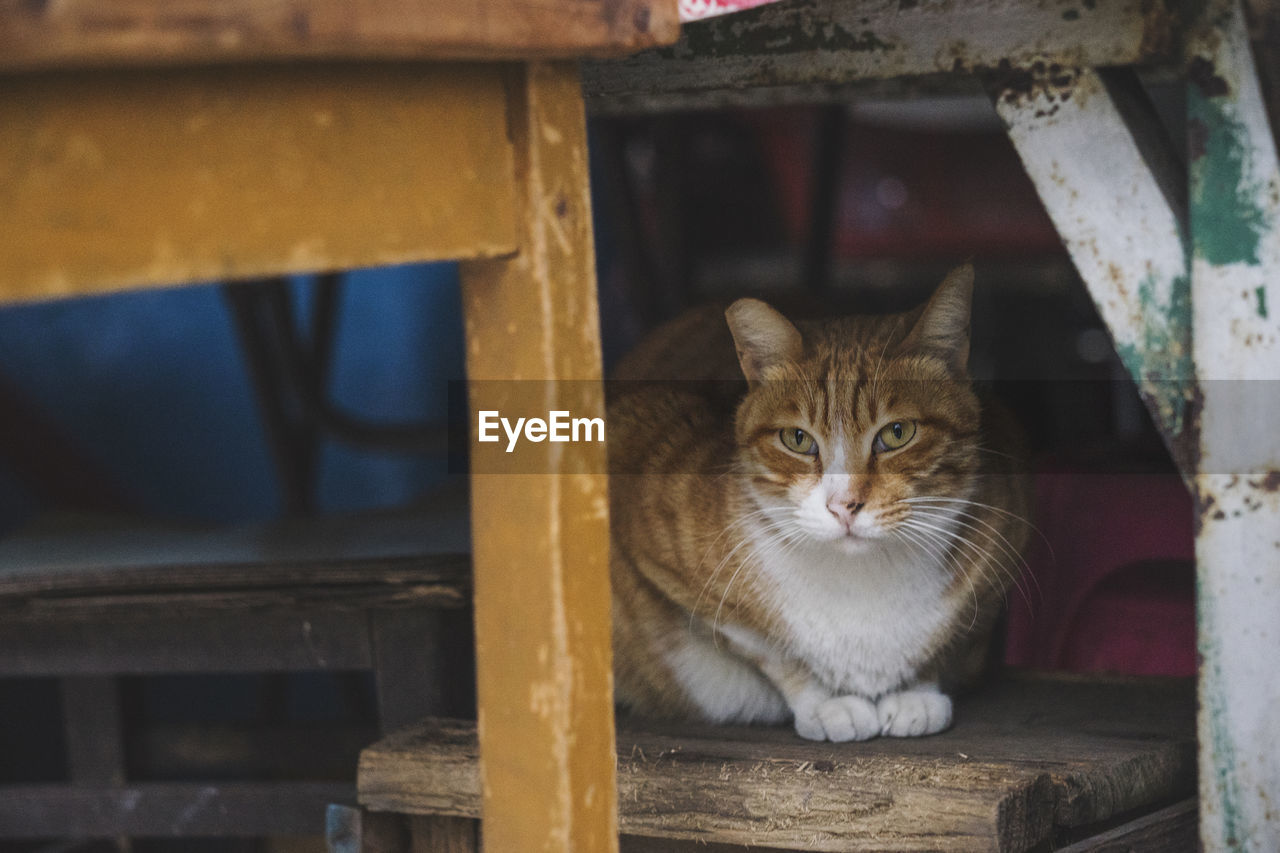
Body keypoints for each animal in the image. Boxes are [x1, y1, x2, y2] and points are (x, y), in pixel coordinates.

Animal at [604, 263, 1034, 737]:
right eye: (797, 439)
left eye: (897, 433)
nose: (843, 505)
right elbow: (769, 649)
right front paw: (828, 703)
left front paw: (916, 691)